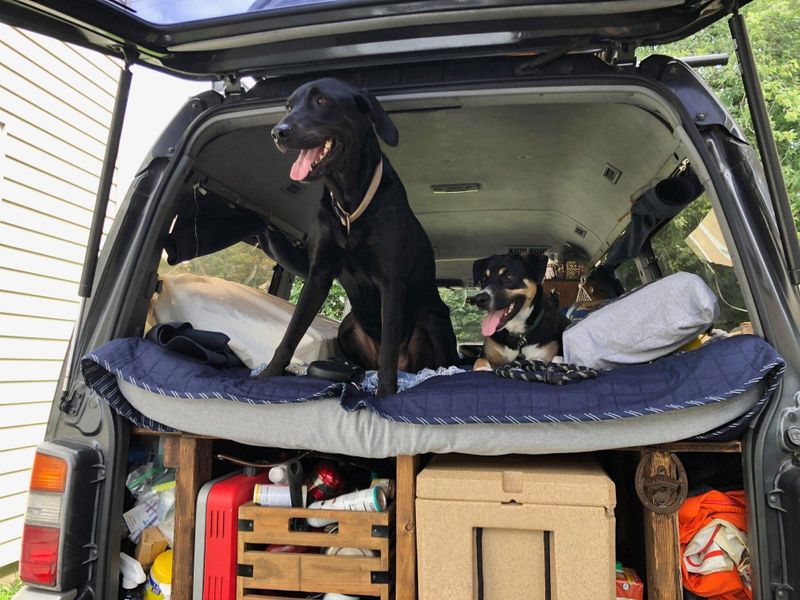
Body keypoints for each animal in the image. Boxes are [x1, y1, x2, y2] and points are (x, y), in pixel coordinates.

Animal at [256, 79, 456, 398]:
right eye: (288, 106)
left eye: (322, 101)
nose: (278, 132)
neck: (349, 203)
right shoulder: (318, 274)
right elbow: (292, 332)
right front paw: (267, 376)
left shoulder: (391, 283)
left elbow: (388, 352)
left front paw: (385, 395)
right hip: (347, 326)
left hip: (432, 319)